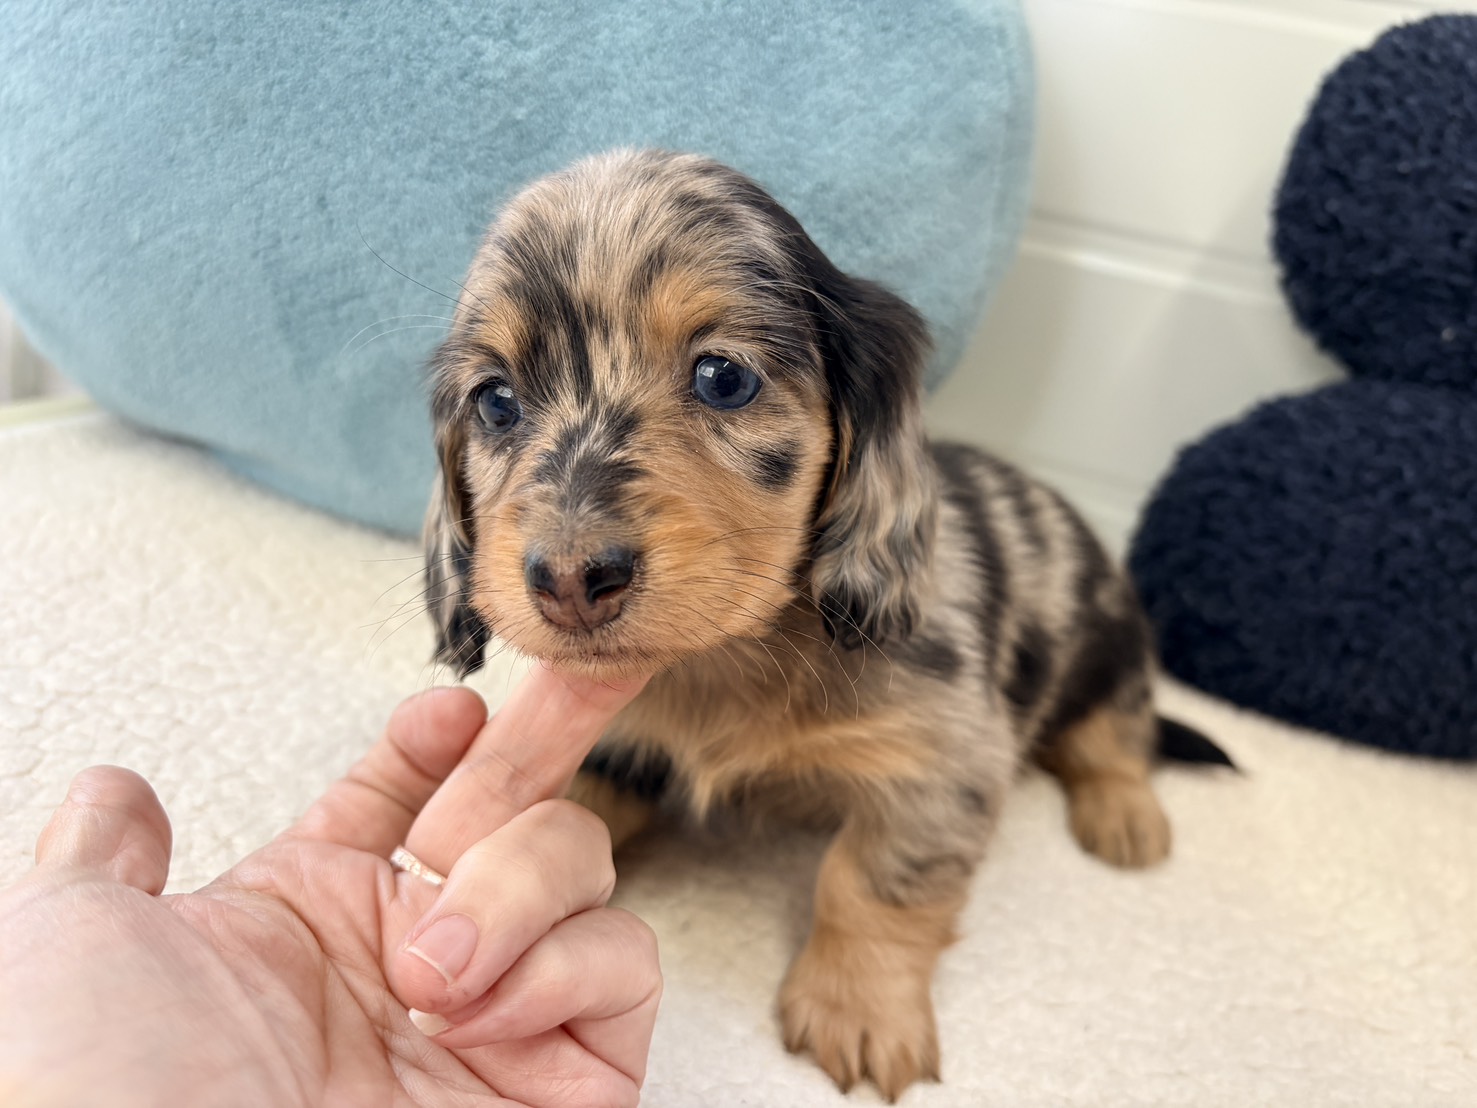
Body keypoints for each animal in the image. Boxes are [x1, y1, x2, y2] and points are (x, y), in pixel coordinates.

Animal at [422, 148, 1228, 1101]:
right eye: (495, 402)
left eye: (723, 377)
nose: (571, 582)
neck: (731, 657)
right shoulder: (614, 738)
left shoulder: (944, 763)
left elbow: (872, 883)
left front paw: (860, 1007)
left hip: (1111, 653)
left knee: (1115, 738)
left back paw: (1125, 815)